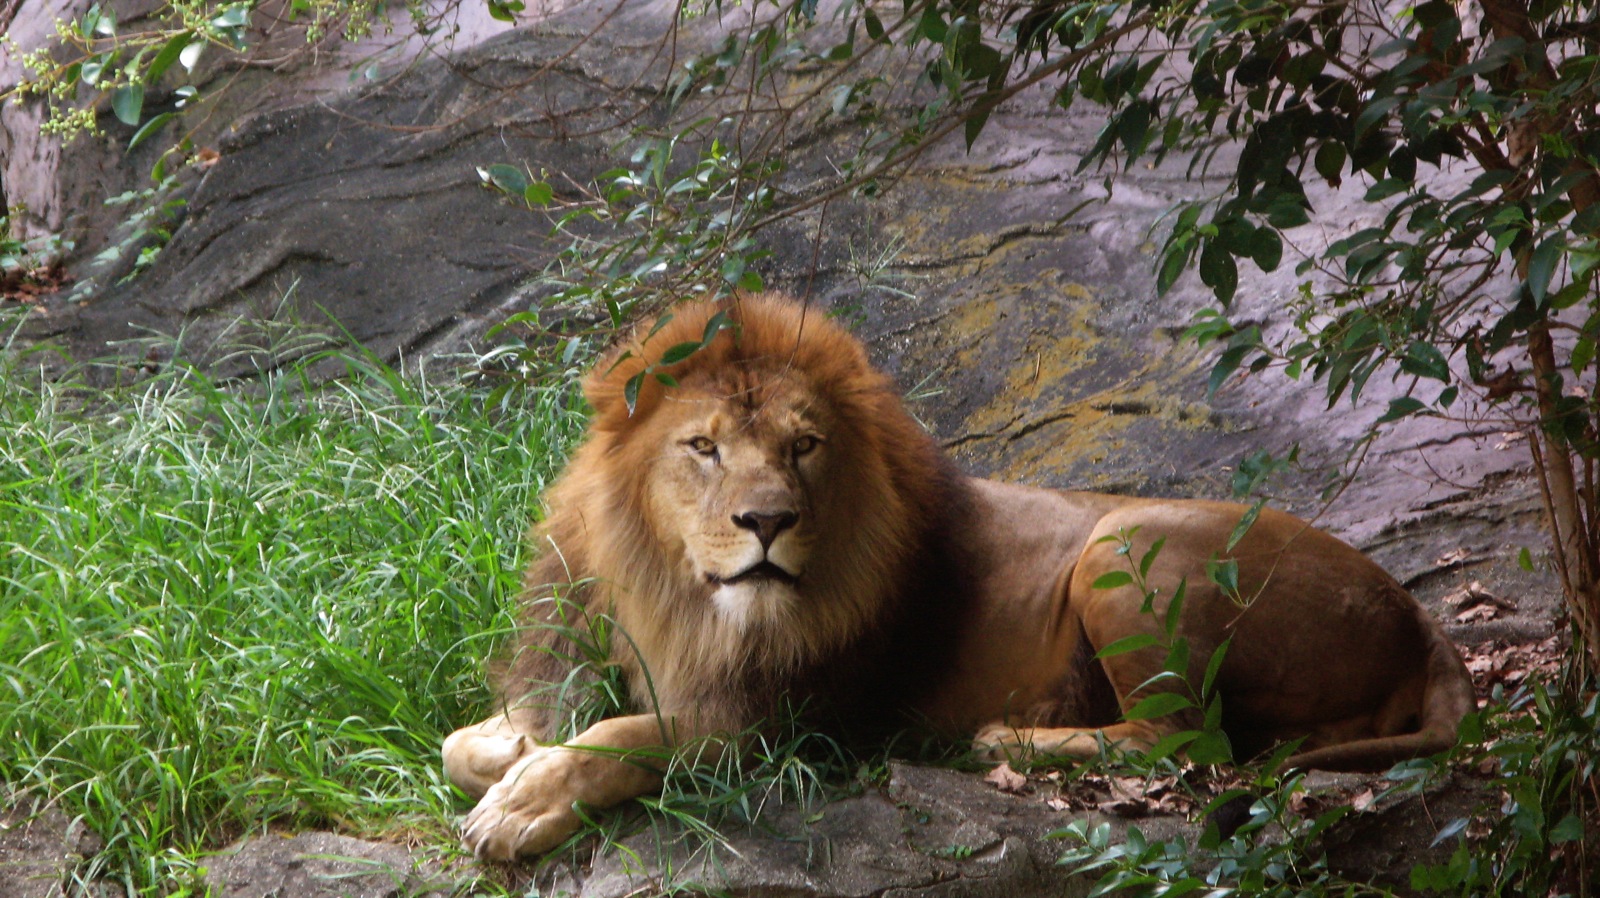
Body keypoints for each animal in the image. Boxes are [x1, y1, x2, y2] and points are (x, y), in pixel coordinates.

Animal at [441, 291, 1472, 857]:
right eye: (703, 447)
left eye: (803, 447)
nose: (768, 522)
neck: (672, 593)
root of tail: (1420, 620)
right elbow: (471, 741)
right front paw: (511, 755)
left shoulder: (783, 725)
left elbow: (622, 738)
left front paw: (524, 804)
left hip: (1120, 536)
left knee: (1190, 741)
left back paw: (1006, 739)